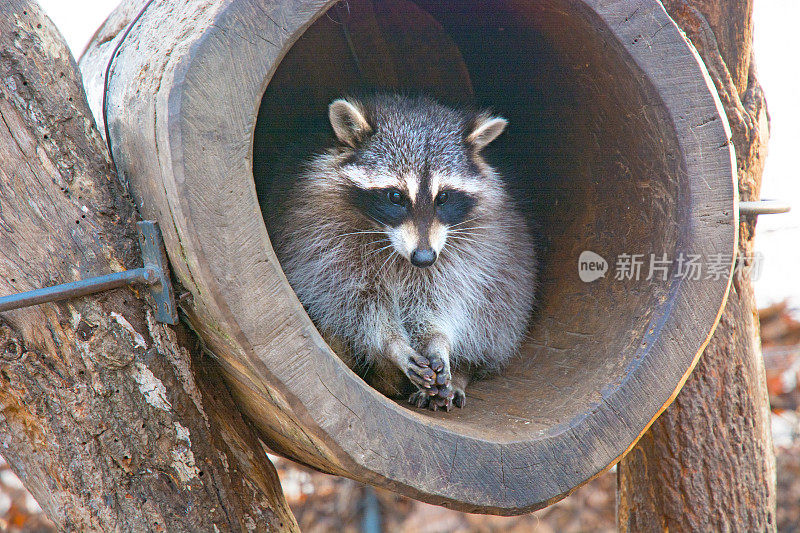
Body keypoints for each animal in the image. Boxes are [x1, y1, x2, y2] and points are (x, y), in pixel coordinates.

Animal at [270, 94, 536, 412]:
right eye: (395, 196)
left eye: (443, 197)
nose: (423, 258)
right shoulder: (322, 246)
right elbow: (355, 305)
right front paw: (392, 345)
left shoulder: (468, 252)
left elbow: (441, 301)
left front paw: (439, 341)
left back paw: (461, 373)